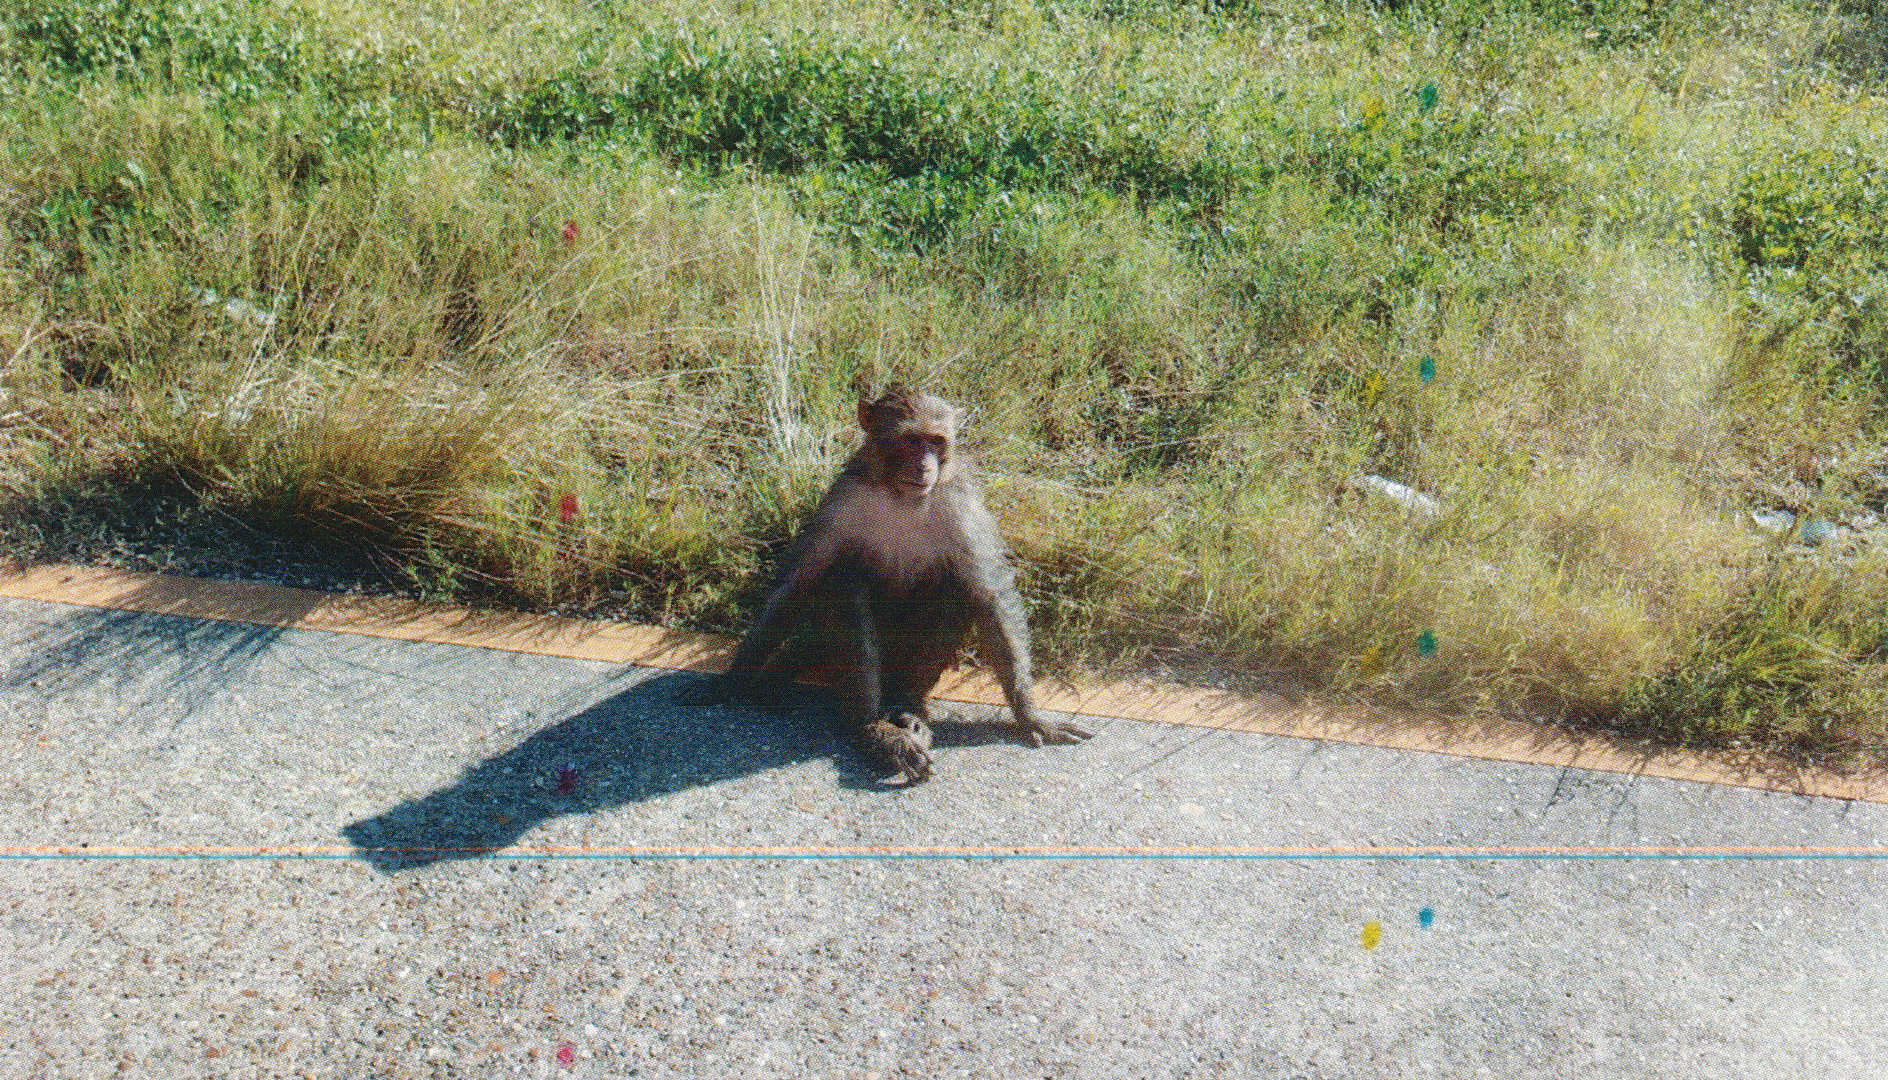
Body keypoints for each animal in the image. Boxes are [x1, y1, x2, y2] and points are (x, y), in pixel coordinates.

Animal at [682, 386, 1093, 782]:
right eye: (911, 440)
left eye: (936, 441)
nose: (924, 465)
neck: (900, 494)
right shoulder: (843, 500)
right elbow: (797, 583)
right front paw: (731, 681)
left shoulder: (961, 504)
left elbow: (989, 593)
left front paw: (1031, 715)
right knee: (846, 584)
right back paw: (874, 728)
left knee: (955, 589)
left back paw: (907, 708)